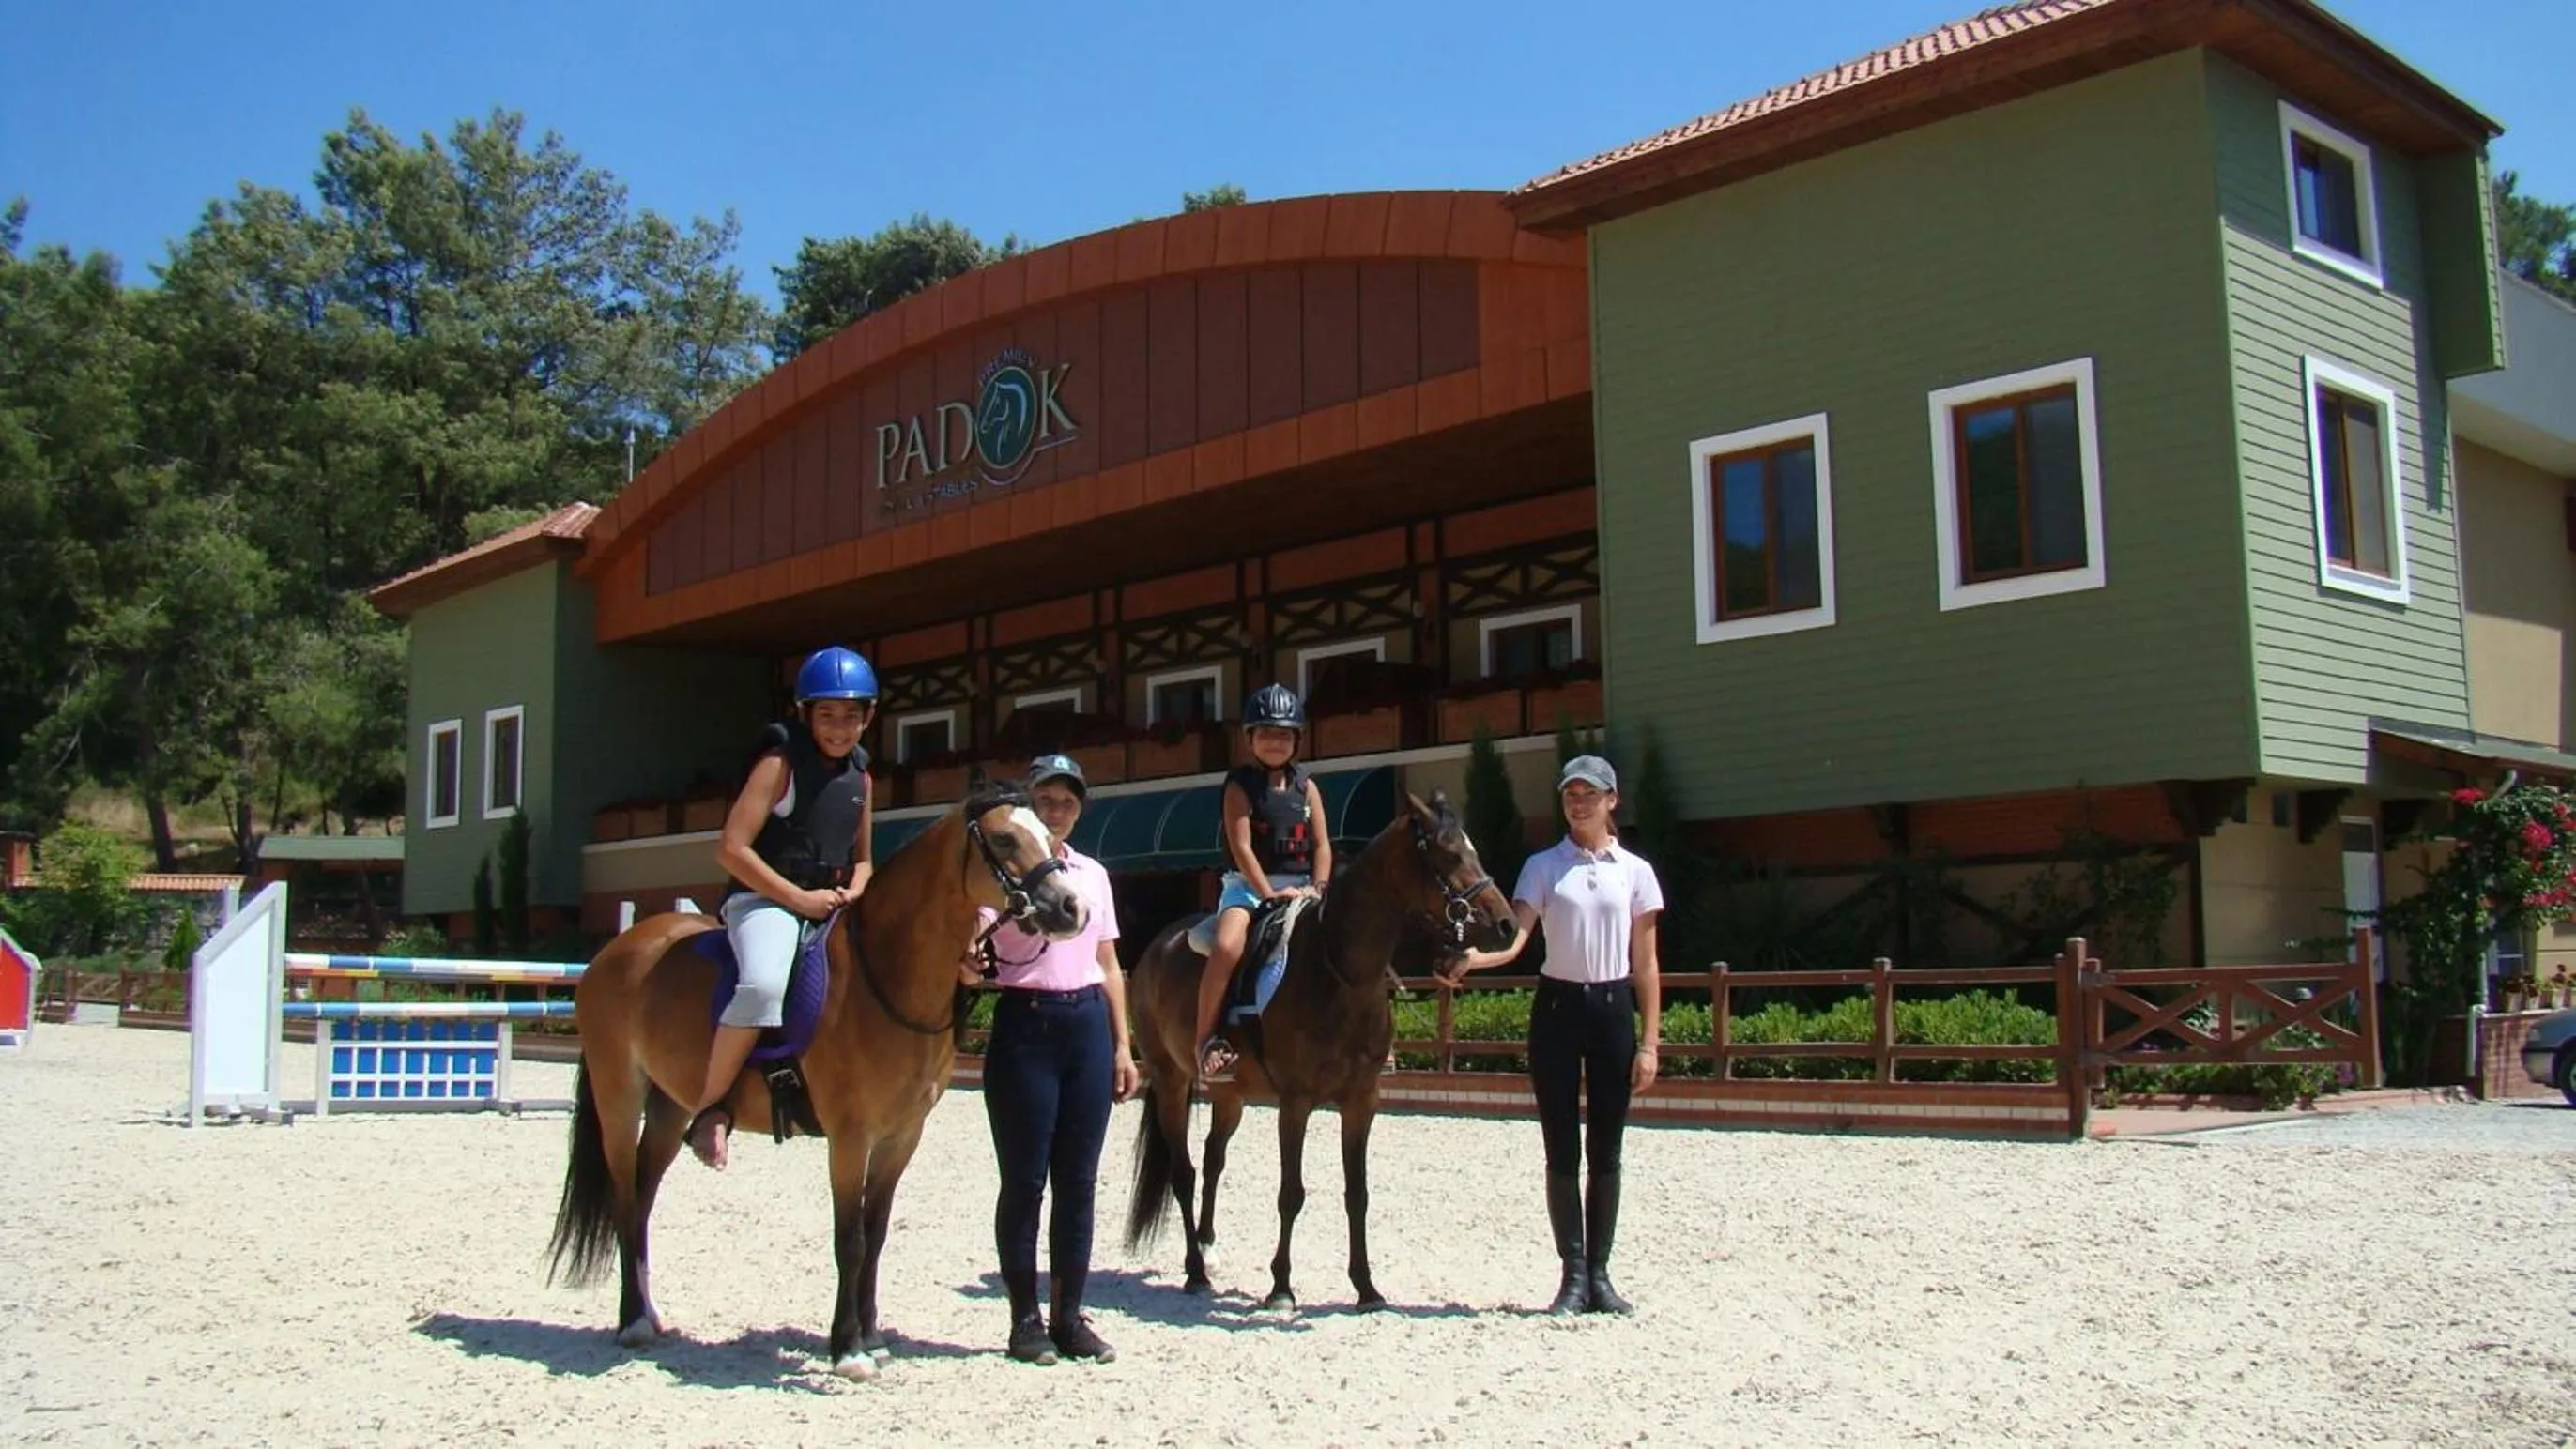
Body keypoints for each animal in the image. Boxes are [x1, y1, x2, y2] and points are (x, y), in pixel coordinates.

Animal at [545, 780, 1087, 1379]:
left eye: (1049, 837)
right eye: (1004, 839)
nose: (1072, 908)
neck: (884, 978)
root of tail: (615, 951)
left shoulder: (902, 1137)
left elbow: (876, 1233)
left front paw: (871, 1336)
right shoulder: (850, 1137)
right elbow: (849, 1238)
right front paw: (847, 1349)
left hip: (670, 1108)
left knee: (642, 1199)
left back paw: (650, 1313)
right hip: (619, 1099)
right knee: (624, 1198)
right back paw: (632, 1322)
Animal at [1123, 789, 1517, 1310]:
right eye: (1449, 855)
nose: (1507, 924)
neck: (1339, 973)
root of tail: (1155, 949)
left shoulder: (1361, 1102)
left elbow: (1357, 1194)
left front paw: (1366, 1287)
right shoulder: (1296, 1102)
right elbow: (1291, 1193)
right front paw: (1281, 1288)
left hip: (1231, 1093)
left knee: (1211, 1161)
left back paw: (1209, 1249)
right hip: (1171, 1081)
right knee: (1184, 1172)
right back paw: (1195, 1271)